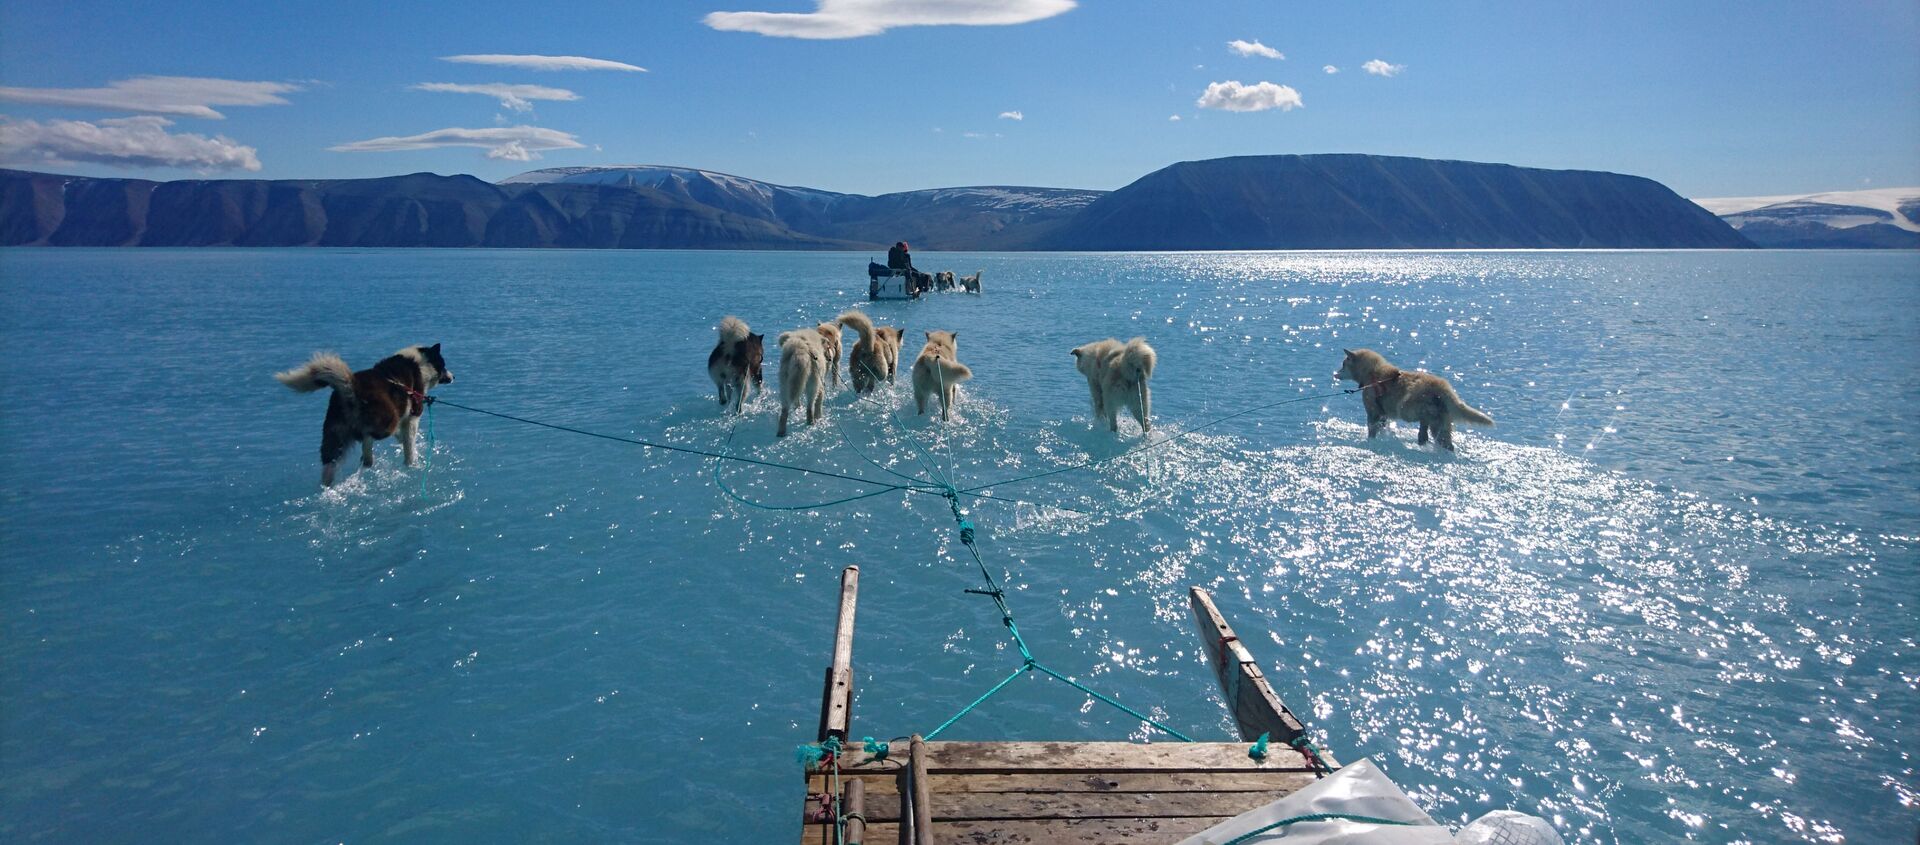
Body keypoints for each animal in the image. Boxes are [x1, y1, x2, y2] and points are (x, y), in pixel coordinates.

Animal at [274, 345, 453, 487]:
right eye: (443, 365)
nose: (453, 376)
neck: (420, 364)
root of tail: (351, 386)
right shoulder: (412, 417)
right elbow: (409, 445)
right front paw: (411, 463)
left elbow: (401, 437)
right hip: (387, 419)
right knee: (368, 436)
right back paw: (367, 459)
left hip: (334, 435)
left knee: (330, 462)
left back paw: (328, 485)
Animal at [1344, 345, 1489, 451]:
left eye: (1343, 364)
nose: (1337, 374)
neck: (1373, 372)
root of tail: (1444, 388)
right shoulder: (1382, 413)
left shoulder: (1373, 410)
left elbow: (1372, 428)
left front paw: (1371, 440)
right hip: (1442, 420)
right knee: (1443, 439)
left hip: (1419, 408)